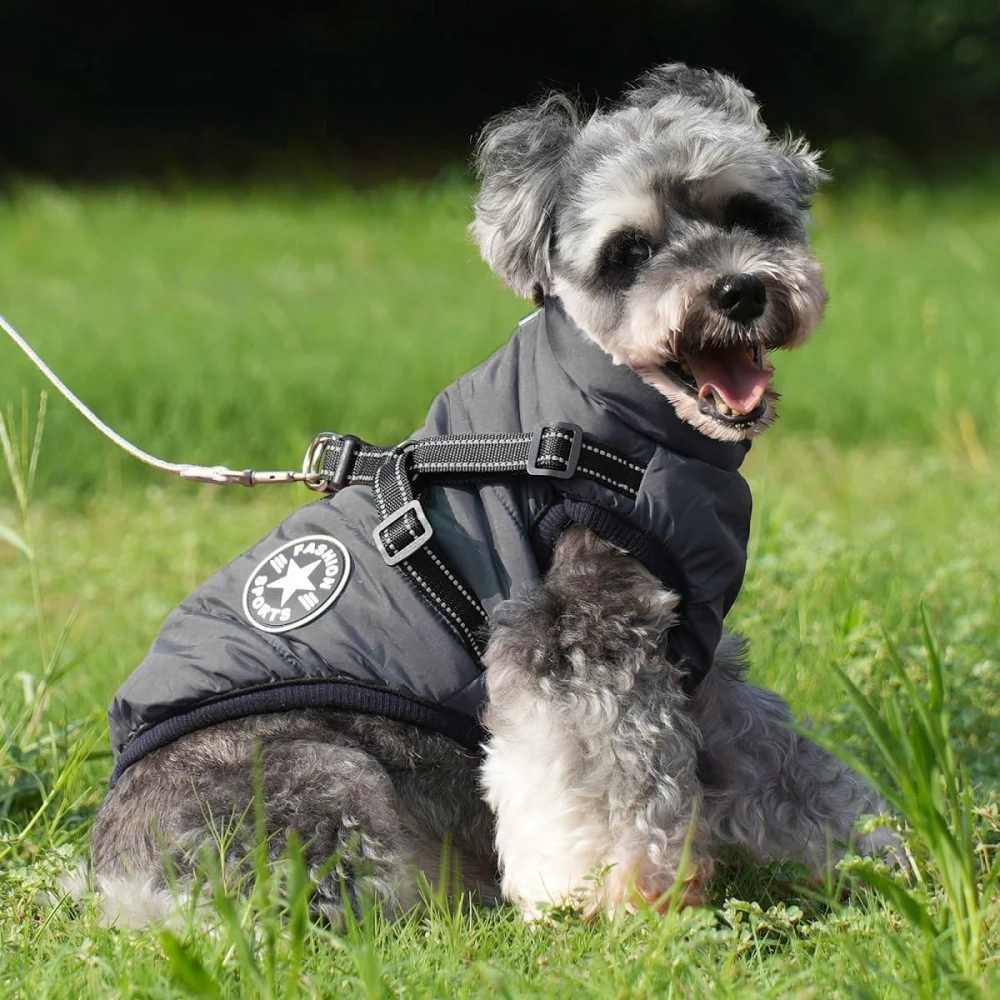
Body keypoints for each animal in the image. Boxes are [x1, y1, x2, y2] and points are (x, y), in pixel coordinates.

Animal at [87, 64, 897, 928]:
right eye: (630, 250)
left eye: (749, 213)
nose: (740, 291)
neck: (609, 413)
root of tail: (116, 882)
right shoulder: (576, 640)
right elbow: (608, 787)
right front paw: (615, 898)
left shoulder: (694, 660)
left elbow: (783, 765)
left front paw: (875, 851)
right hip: (329, 780)